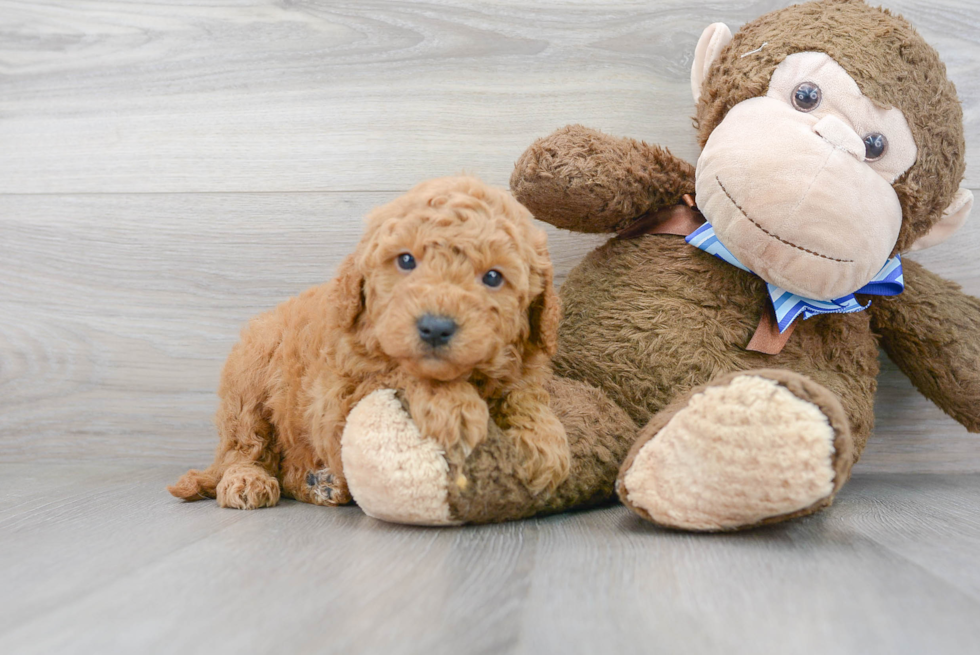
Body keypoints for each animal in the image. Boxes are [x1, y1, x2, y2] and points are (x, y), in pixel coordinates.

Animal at [167, 177, 568, 510]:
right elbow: (398, 375)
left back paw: (321, 484)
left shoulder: (521, 368)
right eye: (406, 260)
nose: (435, 328)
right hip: (249, 380)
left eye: (493, 277)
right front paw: (453, 407)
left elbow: (523, 395)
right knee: (244, 448)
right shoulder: (336, 404)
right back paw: (248, 480)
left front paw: (545, 441)